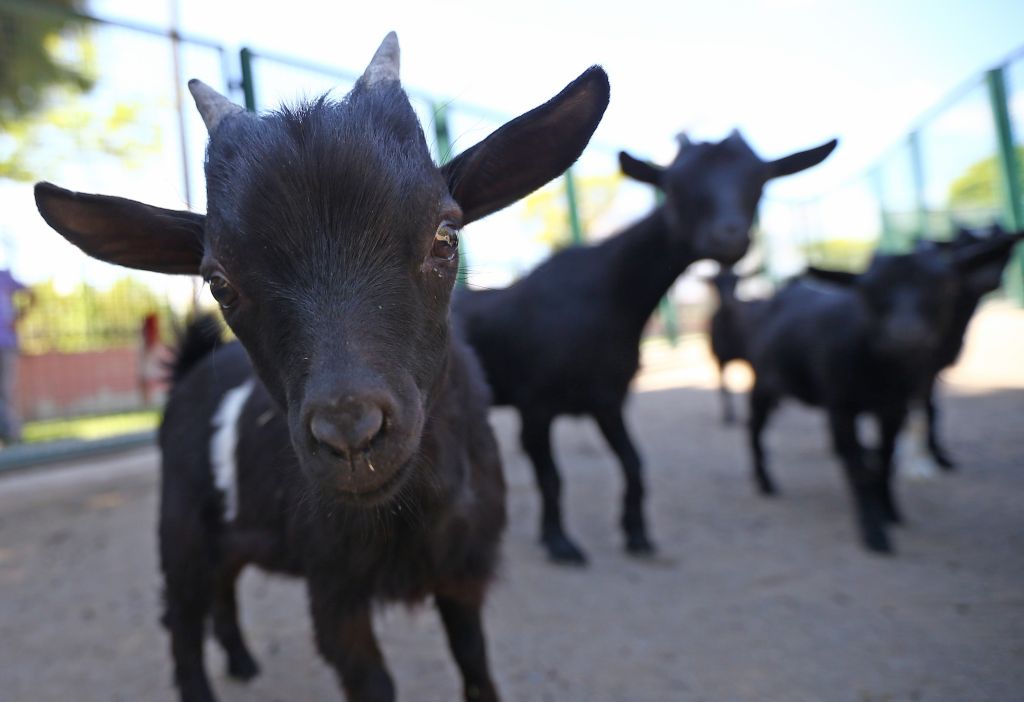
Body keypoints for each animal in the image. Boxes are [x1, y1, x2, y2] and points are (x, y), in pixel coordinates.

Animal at [34, 34, 610, 702]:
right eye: (218, 281)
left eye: (447, 235)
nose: (350, 433)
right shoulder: (334, 589)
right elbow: (372, 682)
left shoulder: (463, 571)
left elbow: (476, 667)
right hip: (179, 528)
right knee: (181, 619)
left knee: (224, 587)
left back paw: (242, 660)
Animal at [454, 130, 837, 564]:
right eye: (674, 185)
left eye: (759, 182)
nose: (728, 237)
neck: (605, 299)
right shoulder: (535, 404)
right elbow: (551, 477)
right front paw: (559, 542)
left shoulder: (607, 399)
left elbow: (634, 464)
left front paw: (636, 533)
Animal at [747, 240, 1011, 553]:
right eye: (867, 291)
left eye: (945, 287)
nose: (905, 338)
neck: (881, 375)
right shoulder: (842, 409)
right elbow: (859, 472)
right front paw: (874, 533)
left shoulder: (894, 409)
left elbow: (885, 461)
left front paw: (890, 512)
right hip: (763, 384)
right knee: (754, 429)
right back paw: (764, 482)